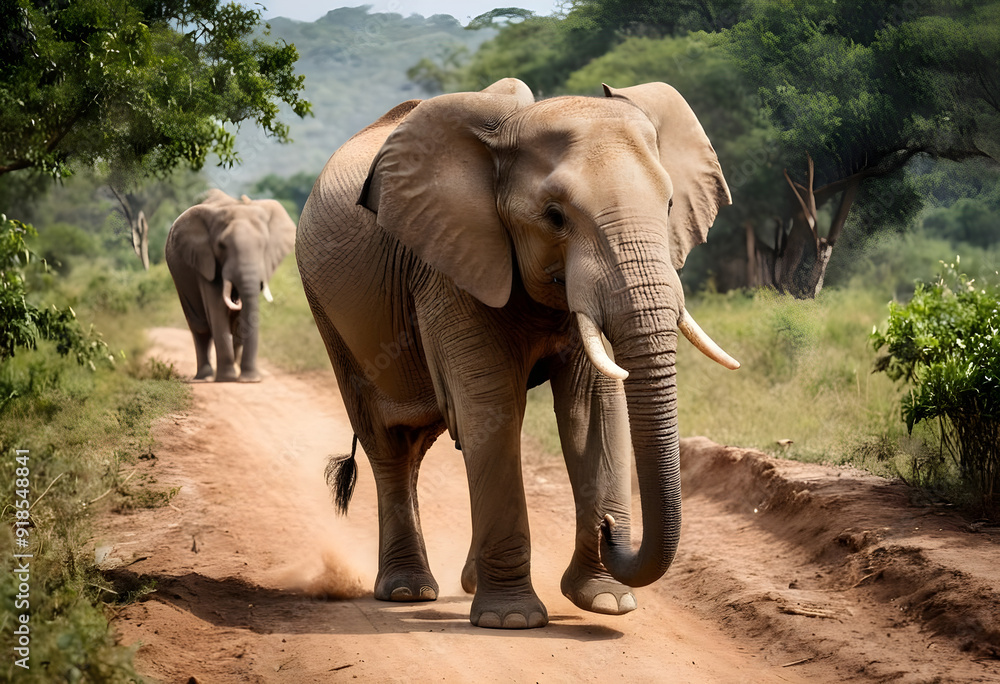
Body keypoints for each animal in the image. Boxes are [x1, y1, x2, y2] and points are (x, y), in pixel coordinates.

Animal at [165, 189, 296, 382]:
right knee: (200, 326)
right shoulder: (205, 261)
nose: (235, 298)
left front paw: (248, 379)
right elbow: (217, 309)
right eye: (221, 246)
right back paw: (205, 376)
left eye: (263, 245)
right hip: (179, 278)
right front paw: (228, 378)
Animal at [296, 78, 739, 629]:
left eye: (672, 204)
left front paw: (606, 602)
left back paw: (461, 582)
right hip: (329, 316)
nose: (611, 528)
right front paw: (512, 620)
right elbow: (491, 408)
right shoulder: (449, 264)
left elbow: (592, 409)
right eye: (555, 217)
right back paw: (407, 591)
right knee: (389, 443)